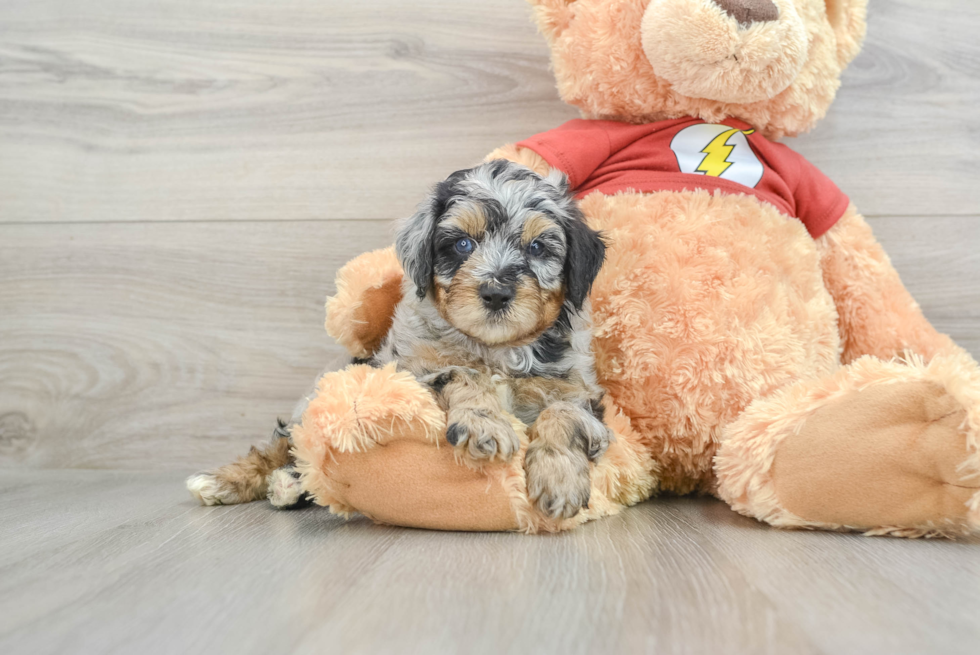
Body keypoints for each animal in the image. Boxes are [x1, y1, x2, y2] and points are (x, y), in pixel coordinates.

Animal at [187, 158, 608, 516]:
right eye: (463, 244)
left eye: (537, 247)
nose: (496, 293)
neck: (495, 349)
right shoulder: (411, 375)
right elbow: (463, 374)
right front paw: (485, 424)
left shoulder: (582, 392)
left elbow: (564, 412)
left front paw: (559, 479)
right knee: (279, 445)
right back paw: (223, 481)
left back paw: (288, 484)